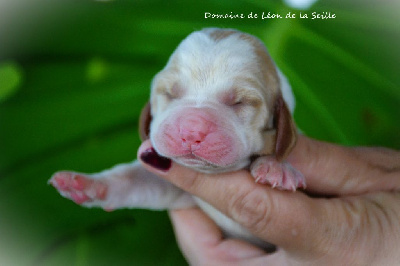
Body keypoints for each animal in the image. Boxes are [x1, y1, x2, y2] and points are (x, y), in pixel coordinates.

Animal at [50, 28, 306, 248]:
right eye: (170, 94)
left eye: (239, 102)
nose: (191, 132)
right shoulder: (176, 189)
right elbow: (132, 179)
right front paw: (86, 183)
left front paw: (276, 167)